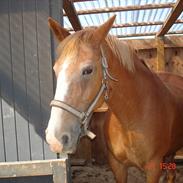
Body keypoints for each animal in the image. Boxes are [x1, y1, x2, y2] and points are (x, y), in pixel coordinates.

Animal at [45, 16, 183, 183]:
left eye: (88, 70)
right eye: (55, 69)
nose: (55, 138)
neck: (132, 119)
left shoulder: (153, 168)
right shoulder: (117, 166)